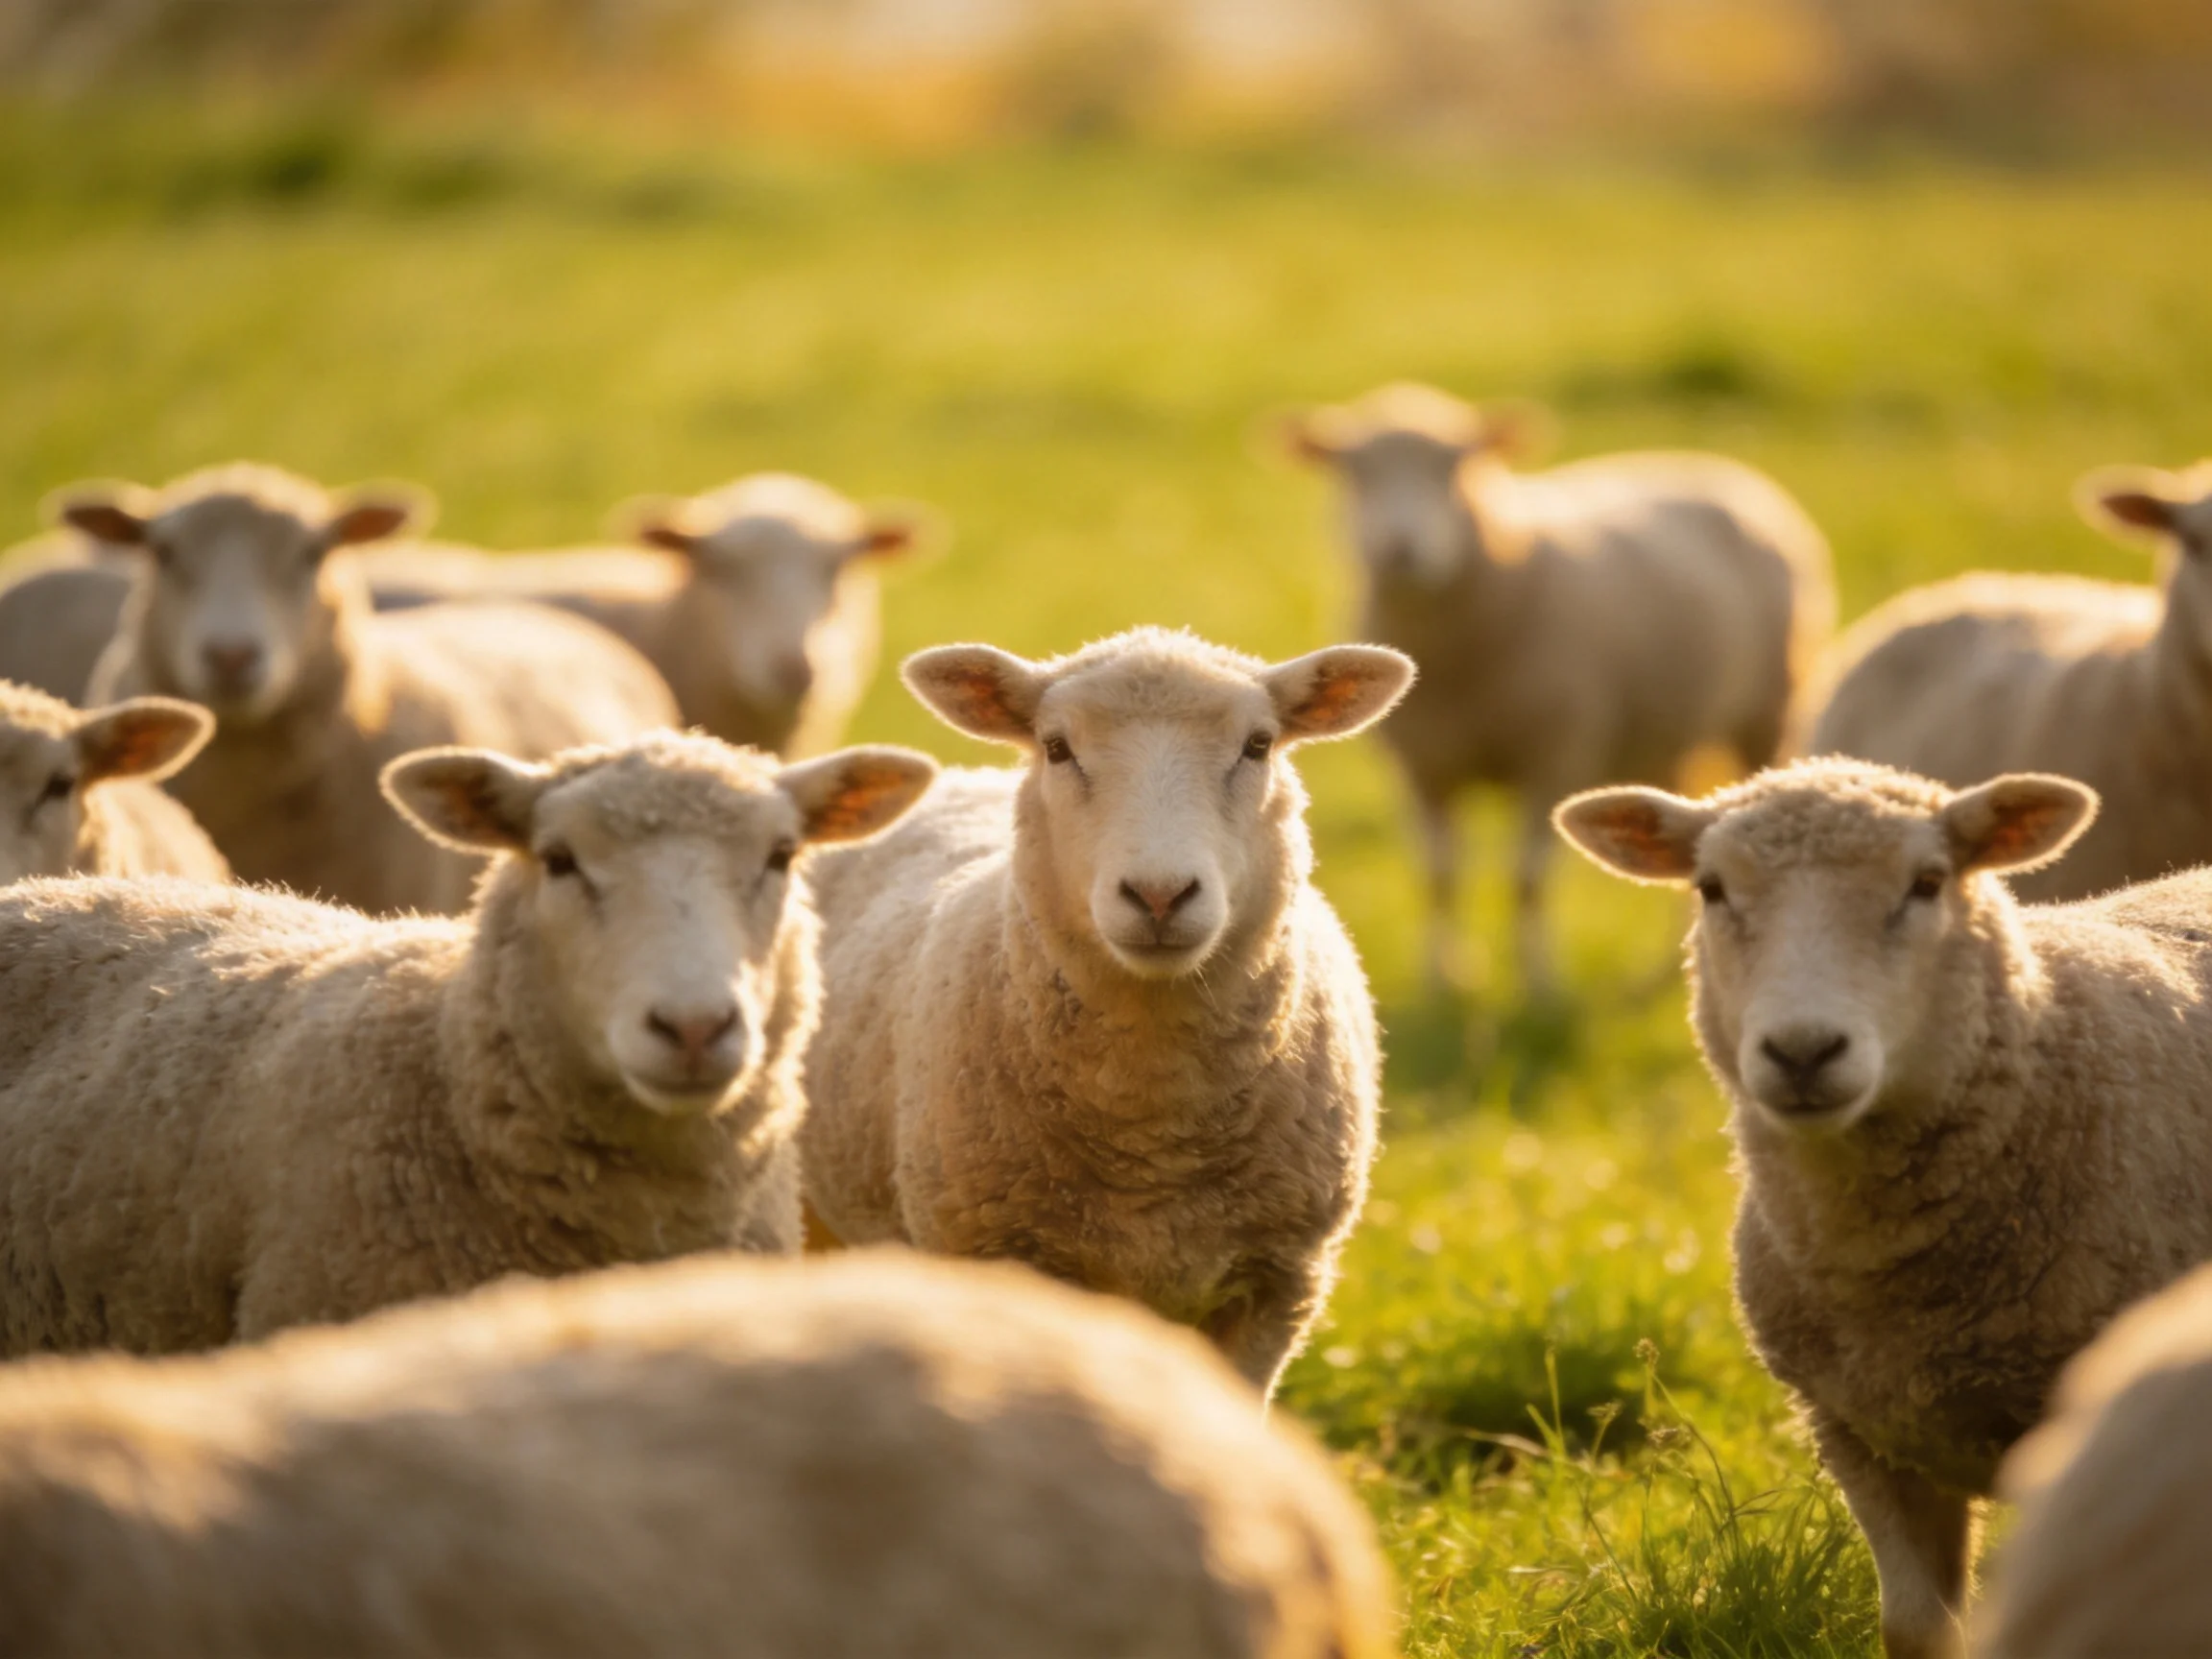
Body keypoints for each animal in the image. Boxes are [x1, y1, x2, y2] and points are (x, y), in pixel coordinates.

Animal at [799, 626, 1413, 1398]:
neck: (1154, 1128)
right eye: (1057, 747)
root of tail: (961, 775)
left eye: (1259, 744)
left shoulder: (1280, 1284)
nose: (1159, 895)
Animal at [1283, 381, 1834, 995]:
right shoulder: (1423, 768)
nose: (1401, 551)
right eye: (1353, 471)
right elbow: (1439, 876)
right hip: (1669, 735)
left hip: (1768, 709)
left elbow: (1528, 880)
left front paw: (1538, 983)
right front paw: (1445, 978)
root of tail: (1714, 468)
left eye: (1456, 466)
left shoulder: (1554, 755)